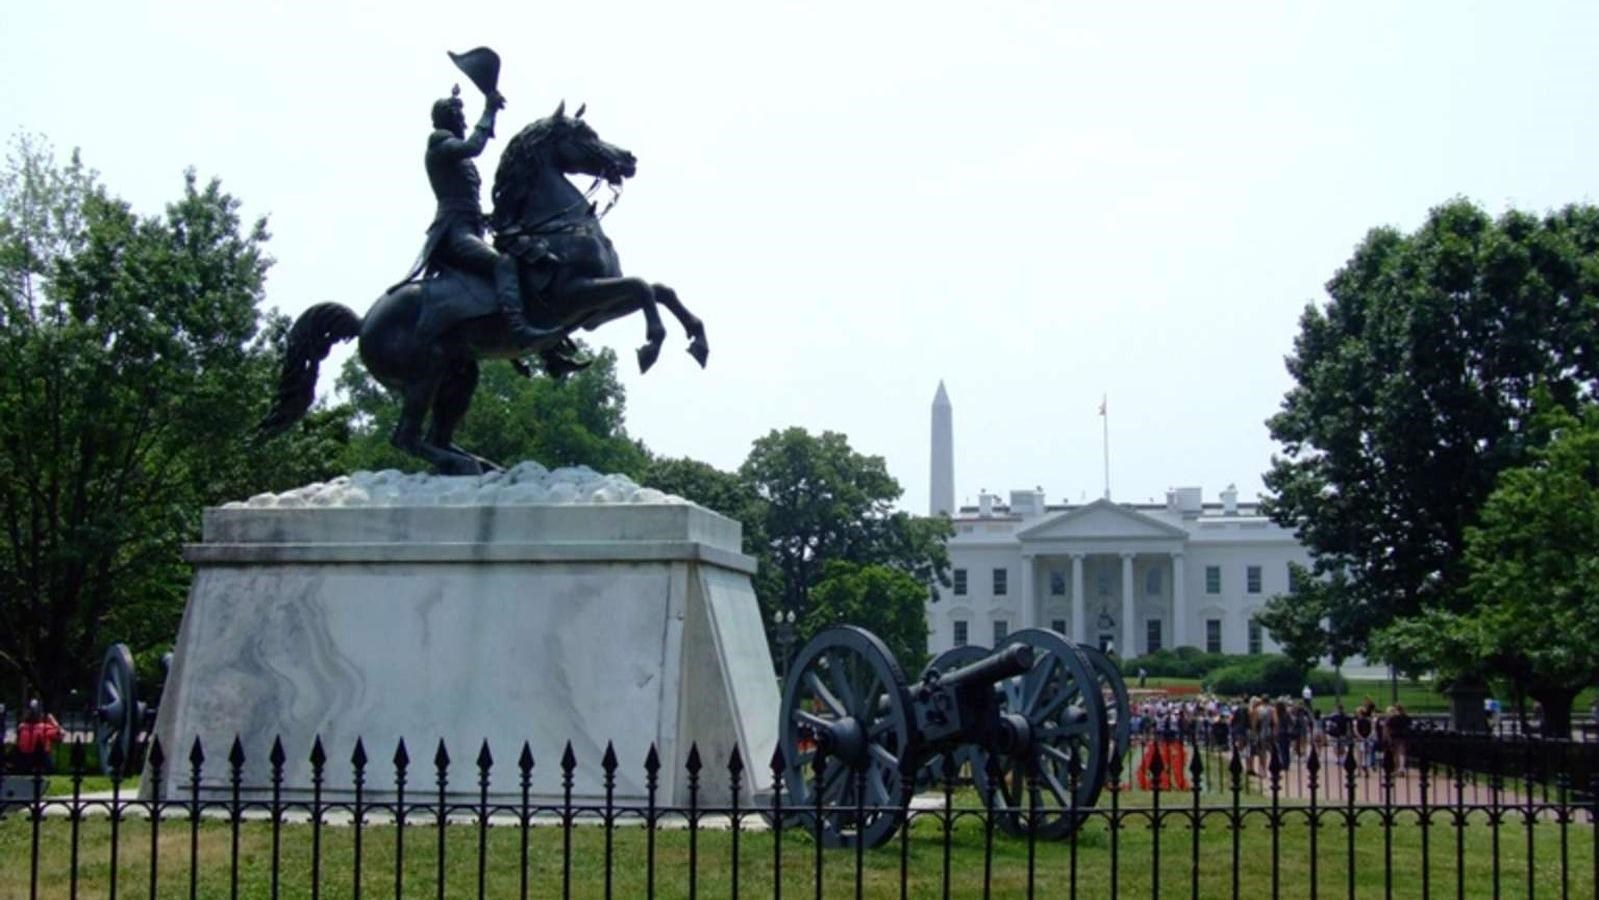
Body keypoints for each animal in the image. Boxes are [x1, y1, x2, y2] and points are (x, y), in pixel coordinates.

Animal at [257, 102, 706, 476]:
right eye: (584, 134)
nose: (628, 159)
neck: (560, 226)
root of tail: (363, 321)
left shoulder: (595, 310)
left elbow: (660, 289)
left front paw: (697, 341)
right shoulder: (574, 297)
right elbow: (643, 287)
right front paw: (651, 346)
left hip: (460, 372)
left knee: (436, 432)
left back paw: (479, 463)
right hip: (425, 374)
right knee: (406, 437)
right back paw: (464, 465)